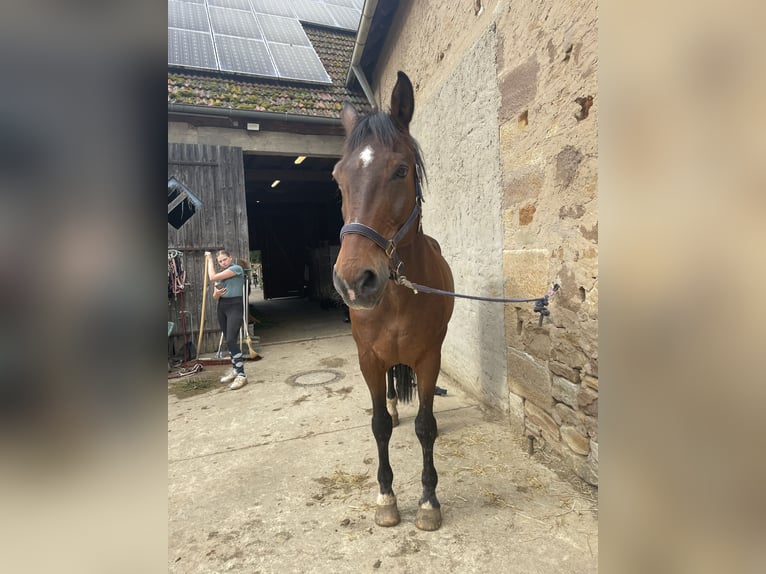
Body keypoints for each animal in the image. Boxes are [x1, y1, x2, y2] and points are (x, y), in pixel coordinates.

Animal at [332, 71, 452, 532]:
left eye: (400, 170)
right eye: (338, 177)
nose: (354, 281)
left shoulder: (429, 358)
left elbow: (426, 426)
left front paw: (428, 502)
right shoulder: (368, 358)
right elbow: (379, 424)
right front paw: (386, 497)